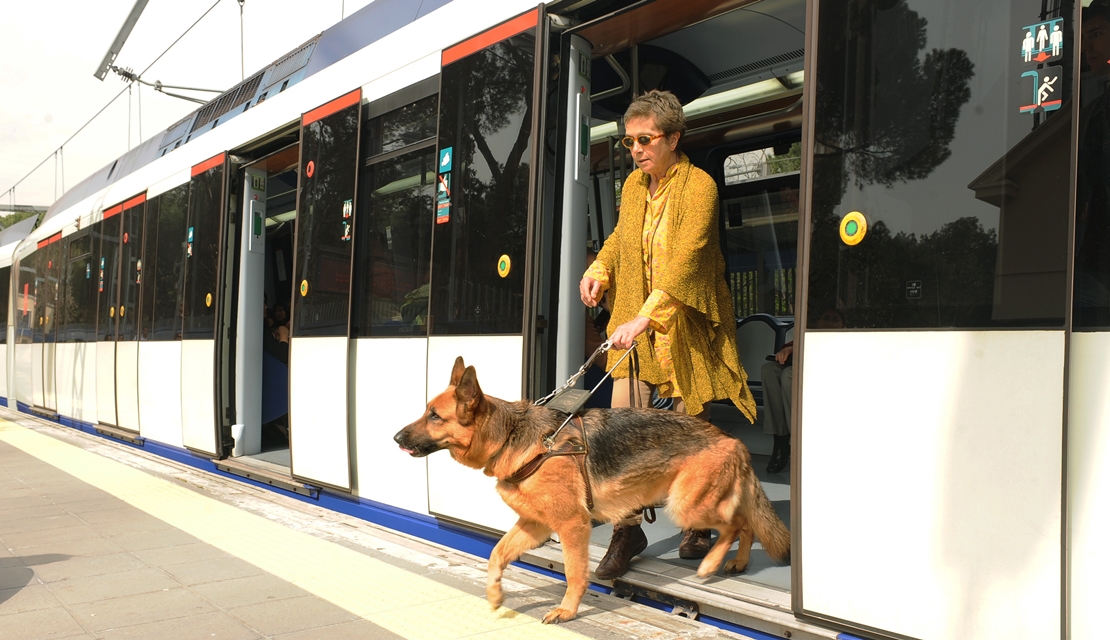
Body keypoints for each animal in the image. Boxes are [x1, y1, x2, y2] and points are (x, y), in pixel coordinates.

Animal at [390, 359, 790, 625]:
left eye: (434, 417)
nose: (395, 438)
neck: (513, 437)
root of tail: (730, 439)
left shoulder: (572, 526)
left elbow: (574, 573)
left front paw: (567, 611)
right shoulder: (535, 525)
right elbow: (496, 555)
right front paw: (495, 594)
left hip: (686, 505)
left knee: (733, 526)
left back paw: (712, 563)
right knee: (745, 523)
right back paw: (738, 561)